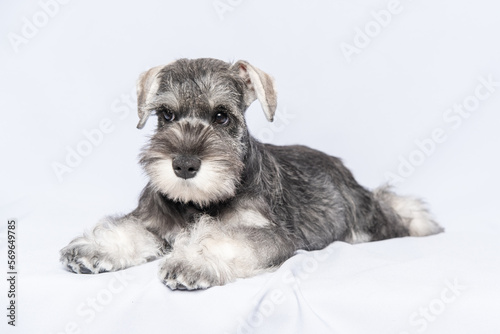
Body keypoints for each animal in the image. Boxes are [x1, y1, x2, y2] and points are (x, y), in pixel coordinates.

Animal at [60, 58, 444, 290]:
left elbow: (226, 239)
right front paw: (96, 247)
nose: (184, 165)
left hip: (366, 219)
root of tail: (342, 168)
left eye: (221, 116)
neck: (200, 202)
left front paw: (194, 262)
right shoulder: (152, 220)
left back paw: (423, 220)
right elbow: (128, 227)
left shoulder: (272, 237)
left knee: (392, 208)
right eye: (166, 115)